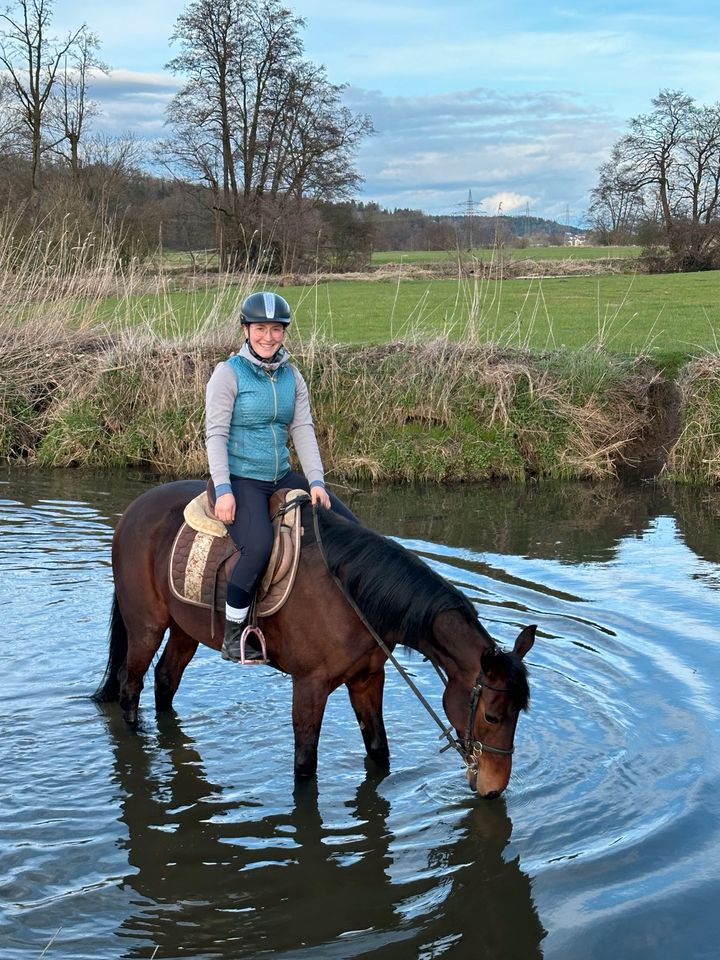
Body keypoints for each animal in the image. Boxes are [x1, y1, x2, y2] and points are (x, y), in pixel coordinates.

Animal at [94, 478, 536, 796]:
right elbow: (305, 767)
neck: (353, 594)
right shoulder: (309, 686)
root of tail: (134, 510)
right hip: (146, 626)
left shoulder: (368, 679)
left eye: (519, 713)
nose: (494, 787)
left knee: (165, 681)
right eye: (493, 716)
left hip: (186, 629)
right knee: (130, 688)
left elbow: (379, 752)